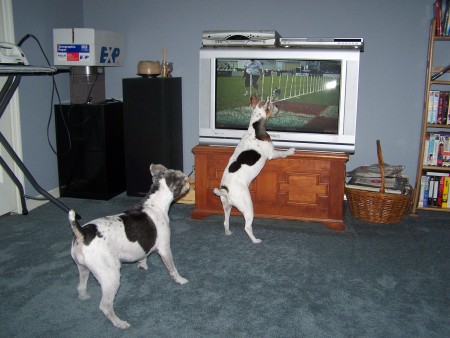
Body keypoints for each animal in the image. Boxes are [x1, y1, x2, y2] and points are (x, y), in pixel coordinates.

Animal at [68, 163, 190, 328]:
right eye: (183, 178)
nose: (189, 182)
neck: (155, 204)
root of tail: (82, 233)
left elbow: (143, 255)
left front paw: (142, 265)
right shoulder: (164, 248)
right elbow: (172, 269)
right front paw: (180, 280)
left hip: (83, 268)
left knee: (81, 286)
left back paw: (85, 296)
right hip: (111, 277)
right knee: (105, 306)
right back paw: (120, 323)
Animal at [214, 94, 296, 243]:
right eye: (273, 105)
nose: (278, 106)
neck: (254, 129)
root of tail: (225, 190)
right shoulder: (272, 153)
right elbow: (282, 152)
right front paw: (290, 151)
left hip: (226, 206)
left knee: (225, 221)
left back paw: (228, 232)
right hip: (248, 207)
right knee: (247, 227)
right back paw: (255, 240)